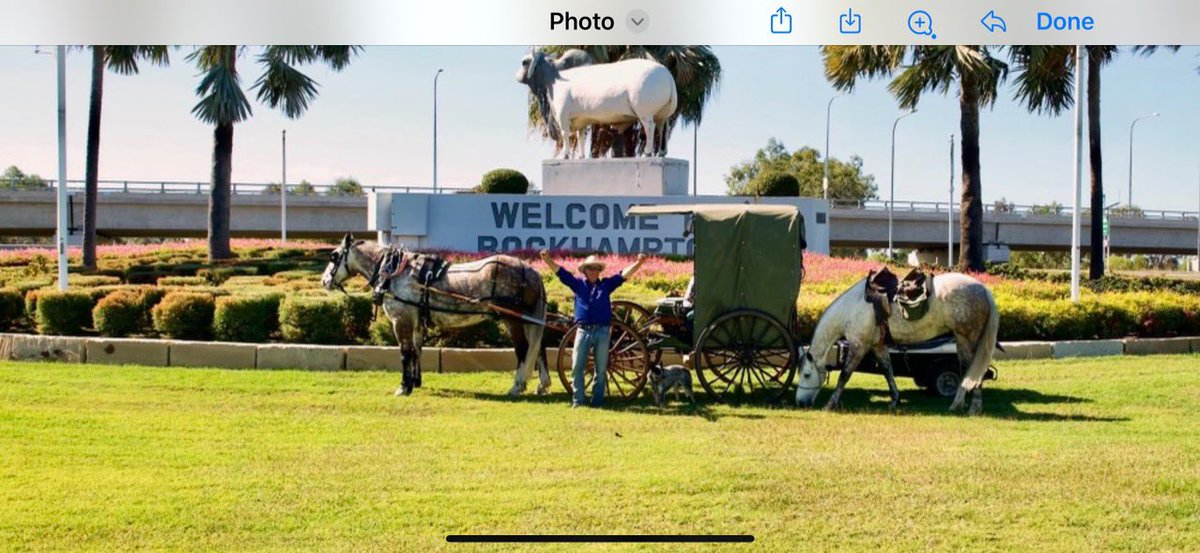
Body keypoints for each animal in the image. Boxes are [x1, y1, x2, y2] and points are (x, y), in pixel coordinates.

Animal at [321, 235, 550, 397]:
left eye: (334, 256)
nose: (324, 281)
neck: (394, 272)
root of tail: (531, 271)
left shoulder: (401, 320)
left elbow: (405, 353)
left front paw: (403, 386)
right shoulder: (415, 322)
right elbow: (416, 350)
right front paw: (415, 382)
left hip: (512, 319)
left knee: (523, 349)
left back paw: (517, 386)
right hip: (527, 318)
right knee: (539, 348)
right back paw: (542, 384)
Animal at [794, 272, 1000, 415]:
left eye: (806, 374)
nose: (800, 403)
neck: (852, 309)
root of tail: (983, 289)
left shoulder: (859, 345)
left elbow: (844, 374)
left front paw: (830, 404)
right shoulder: (878, 346)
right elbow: (888, 371)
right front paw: (895, 399)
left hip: (966, 338)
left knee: (972, 371)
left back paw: (971, 407)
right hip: (961, 340)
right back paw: (959, 405)